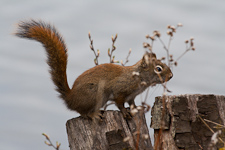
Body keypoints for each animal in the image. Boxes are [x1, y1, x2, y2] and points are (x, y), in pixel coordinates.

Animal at [14, 19, 173, 120]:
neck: (138, 77)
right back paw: (93, 115)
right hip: (95, 95)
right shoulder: (120, 89)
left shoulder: (132, 96)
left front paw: (136, 109)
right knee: (82, 112)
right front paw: (124, 112)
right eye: (158, 68)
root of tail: (70, 98)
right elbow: (119, 102)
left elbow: (132, 104)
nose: (171, 76)